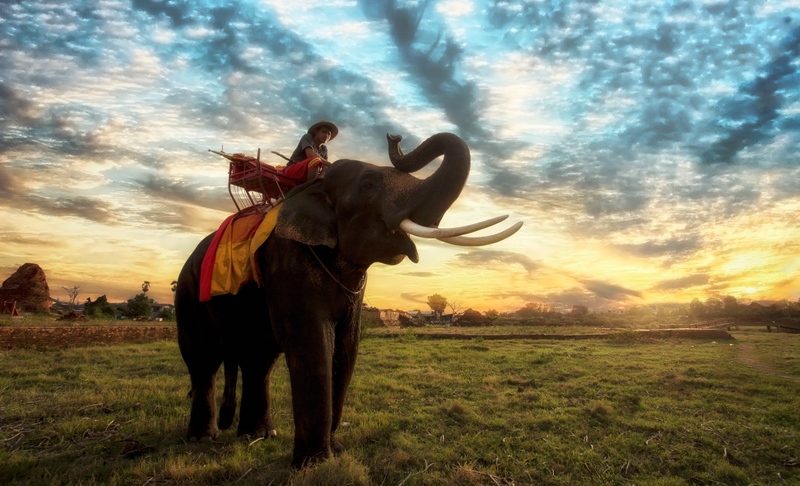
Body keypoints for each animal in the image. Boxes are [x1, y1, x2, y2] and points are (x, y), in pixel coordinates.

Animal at [174, 132, 520, 468]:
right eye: (368, 185)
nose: (395, 137)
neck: (311, 189)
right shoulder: (287, 262)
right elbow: (314, 346)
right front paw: (314, 464)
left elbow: (347, 346)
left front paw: (336, 451)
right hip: (188, 293)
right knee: (203, 359)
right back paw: (204, 438)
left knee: (258, 361)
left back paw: (258, 435)